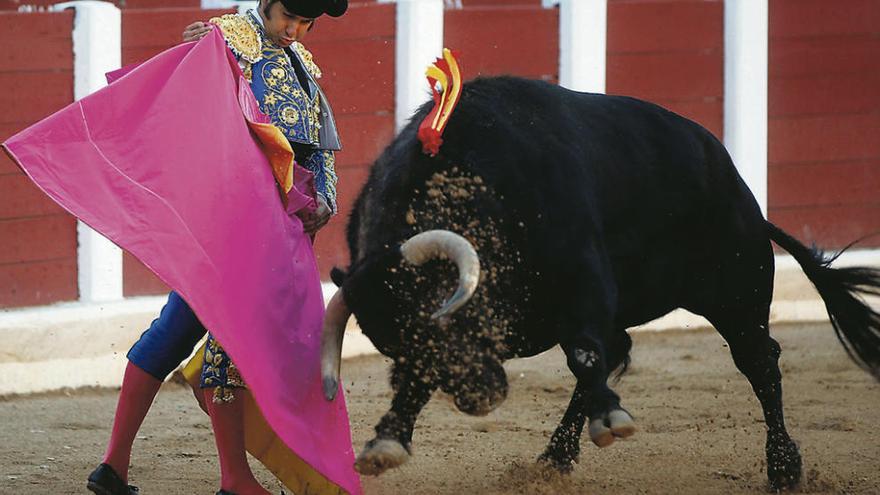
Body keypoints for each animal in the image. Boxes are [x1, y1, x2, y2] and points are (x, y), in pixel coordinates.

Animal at [320, 76, 876, 488]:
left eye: (449, 313)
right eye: (395, 343)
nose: (480, 398)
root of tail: (740, 189)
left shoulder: (583, 275)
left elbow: (585, 354)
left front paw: (611, 417)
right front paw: (387, 440)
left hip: (738, 293)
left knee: (759, 363)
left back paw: (783, 468)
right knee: (621, 347)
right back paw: (555, 457)